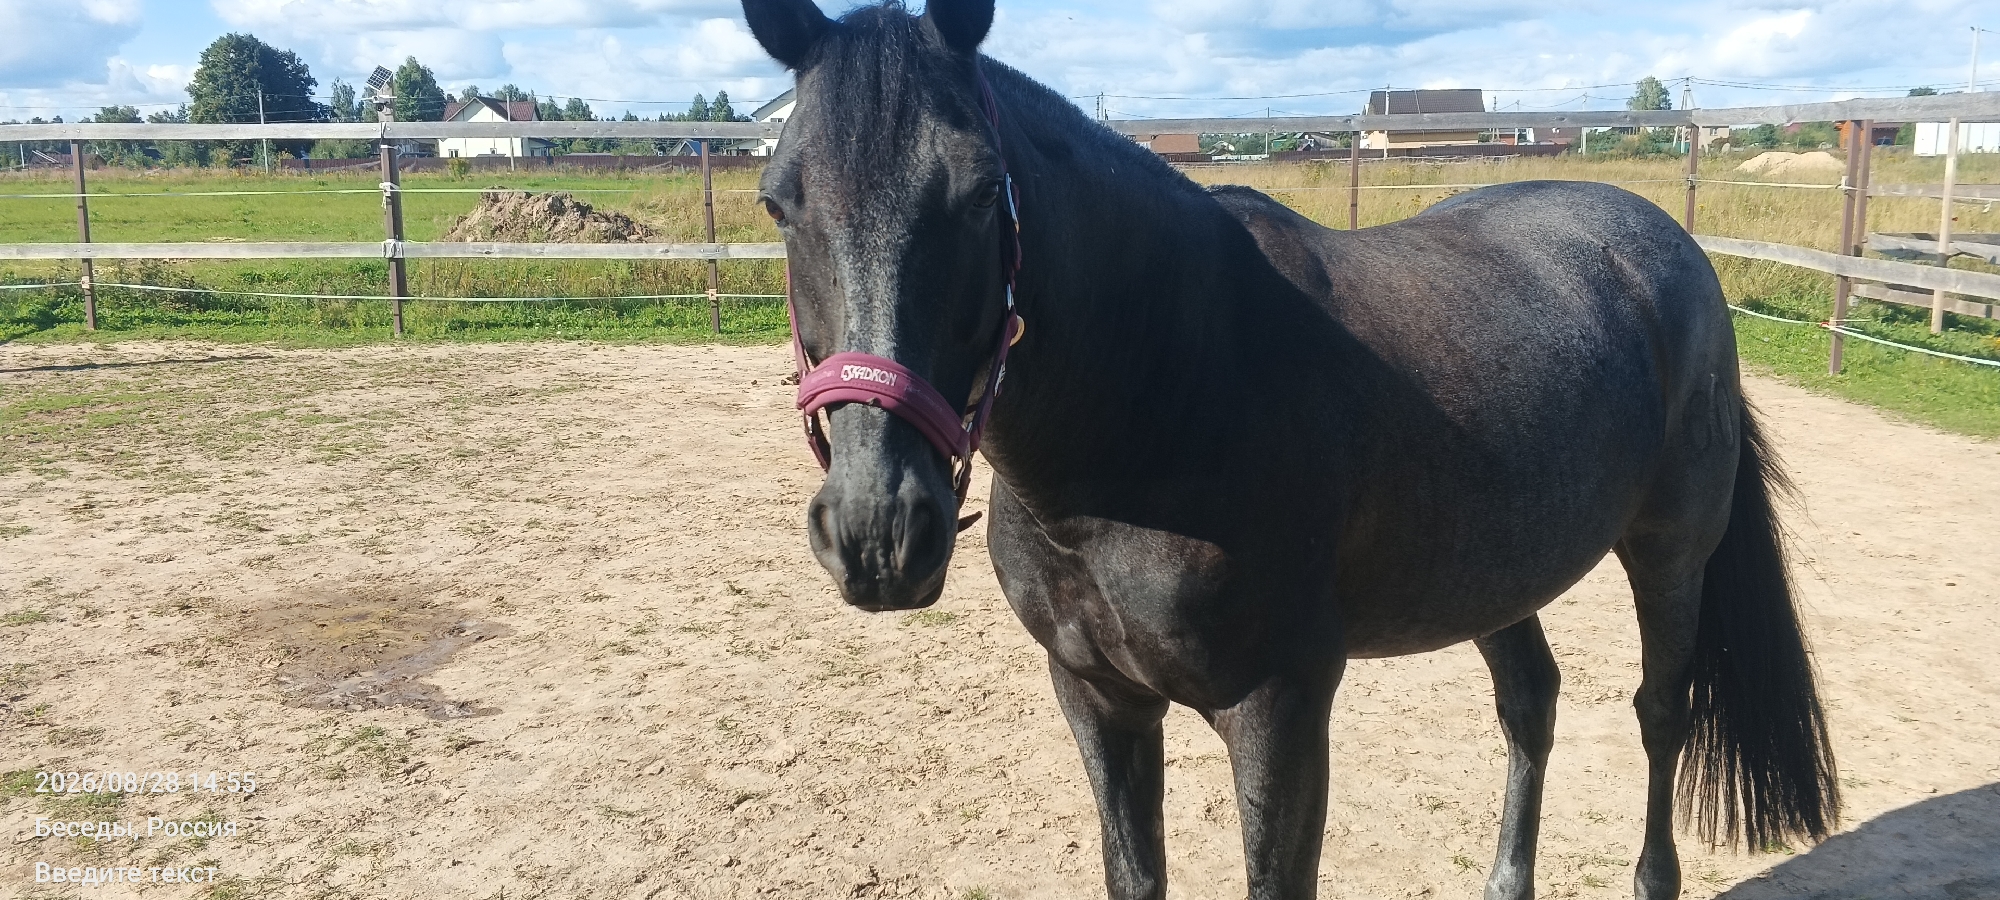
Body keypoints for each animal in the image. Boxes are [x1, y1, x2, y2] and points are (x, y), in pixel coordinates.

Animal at [740, 0, 1841, 896]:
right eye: (778, 201)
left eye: (977, 193)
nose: (879, 530)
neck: (1163, 396)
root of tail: (1663, 243)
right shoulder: (1097, 699)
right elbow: (1134, 872)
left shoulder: (1278, 713)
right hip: (1495, 570)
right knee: (1531, 703)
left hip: (1670, 556)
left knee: (1660, 713)